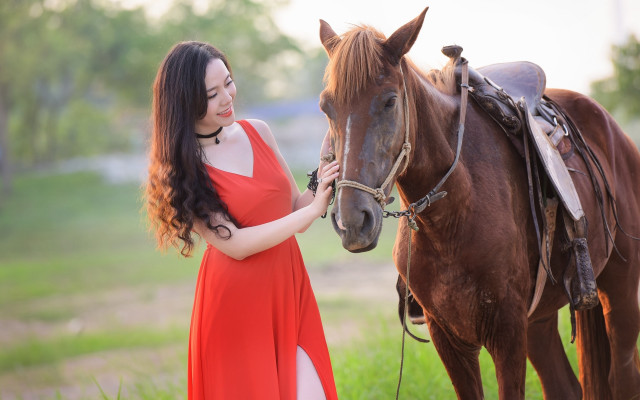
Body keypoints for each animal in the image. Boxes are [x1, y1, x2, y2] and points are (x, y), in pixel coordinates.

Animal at [318, 7, 640, 400]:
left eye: (390, 101)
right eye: (326, 106)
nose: (352, 221)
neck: (452, 217)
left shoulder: (507, 334)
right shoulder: (449, 338)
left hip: (620, 293)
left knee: (624, 376)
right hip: (540, 321)